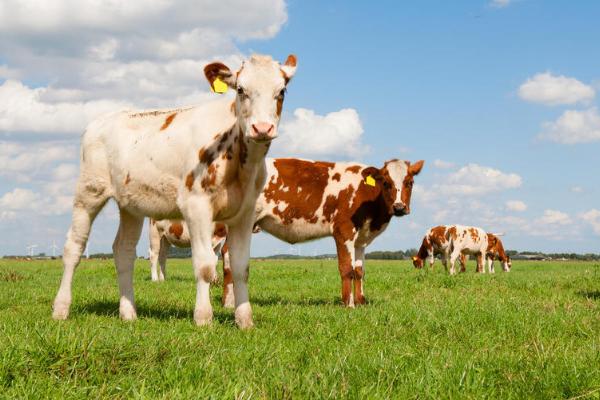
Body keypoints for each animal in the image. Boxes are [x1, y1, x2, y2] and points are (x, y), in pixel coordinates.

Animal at [51, 54, 298, 328]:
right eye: (241, 90)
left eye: (282, 91)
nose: (262, 128)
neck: (240, 162)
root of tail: (101, 120)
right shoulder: (196, 207)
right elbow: (204, 265)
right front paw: (203, 318)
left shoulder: (244, 213)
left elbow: (241, 268)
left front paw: (245, 321)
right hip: (89, 192)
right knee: (74, 247)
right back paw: (61, 309)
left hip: (131, 205)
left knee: (123, 250)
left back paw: (128, 313)